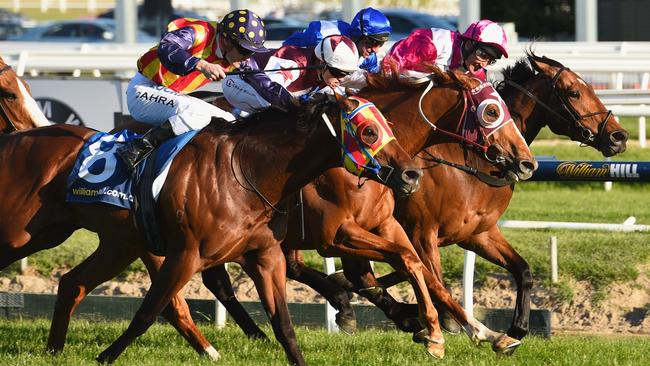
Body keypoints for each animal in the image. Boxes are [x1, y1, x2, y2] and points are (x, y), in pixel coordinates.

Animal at [0, 93, 420, 364]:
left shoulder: (265, 255)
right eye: (368, 132)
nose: (411, 174)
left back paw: (54, 350)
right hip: (19, 233)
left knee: (73, 283)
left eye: (388, 125)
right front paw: (105, 356)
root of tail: (13, 139)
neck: (247, 172)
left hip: (114, 242)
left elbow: (284, 325)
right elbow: (147, 313)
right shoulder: (186, 254)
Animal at [202, 53, 628, 348]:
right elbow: (422, 275)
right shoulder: (413, 233)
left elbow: (520, 270)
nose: (619, 136)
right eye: (574, 91)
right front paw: (444, 325)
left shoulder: (476, 232)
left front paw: (511, 331)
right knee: (226, 275)